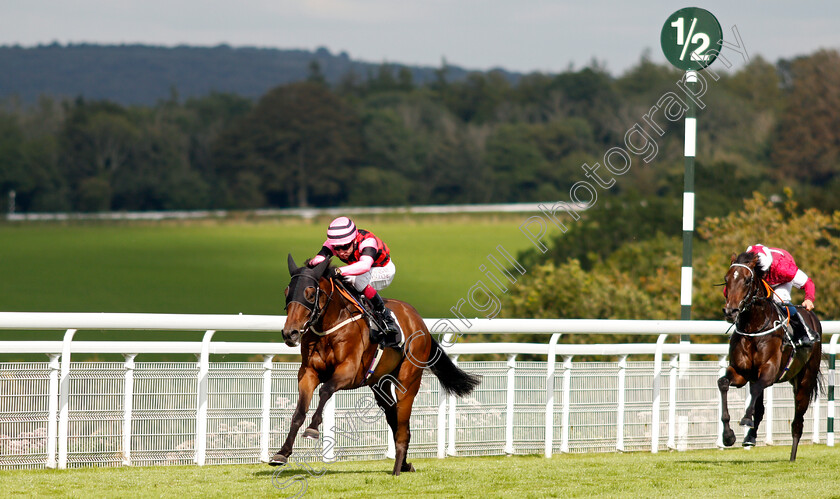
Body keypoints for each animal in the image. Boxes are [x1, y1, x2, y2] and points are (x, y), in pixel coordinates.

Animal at [270, 256, 480, 474]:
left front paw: (312, 429)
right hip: (380, 384)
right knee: (394, 417)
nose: (290, 333)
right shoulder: (308, 372)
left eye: (310, 294)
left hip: (408, 381)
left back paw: (397, 469)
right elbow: (299, 412)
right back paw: (405, 463)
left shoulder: (349, 371)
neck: (330, 326)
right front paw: (282, 453)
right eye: (286, 292)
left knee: (403, 425)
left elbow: (326, 390)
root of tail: (419, 321)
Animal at [720, 252, 824, 462]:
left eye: (747, 280)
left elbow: (756, 390)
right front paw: (728, 436)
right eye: (726, 279)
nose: (730, 311)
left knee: (797, 421)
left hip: (805, 381)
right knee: (760, 406)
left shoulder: (769, 371)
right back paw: (750, 438)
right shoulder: (741, 373)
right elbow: (723, 383)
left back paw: (792, 456)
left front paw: (745, 418)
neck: (754, 327)